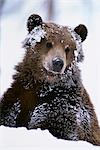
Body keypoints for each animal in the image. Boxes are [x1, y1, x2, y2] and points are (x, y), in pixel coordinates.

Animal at [0, 13, 99, 145]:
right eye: (48, 43)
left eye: (67, 48)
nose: (57, 62)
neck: (43, 85)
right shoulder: (18, 96)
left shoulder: (61, 105)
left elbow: (57, 127)